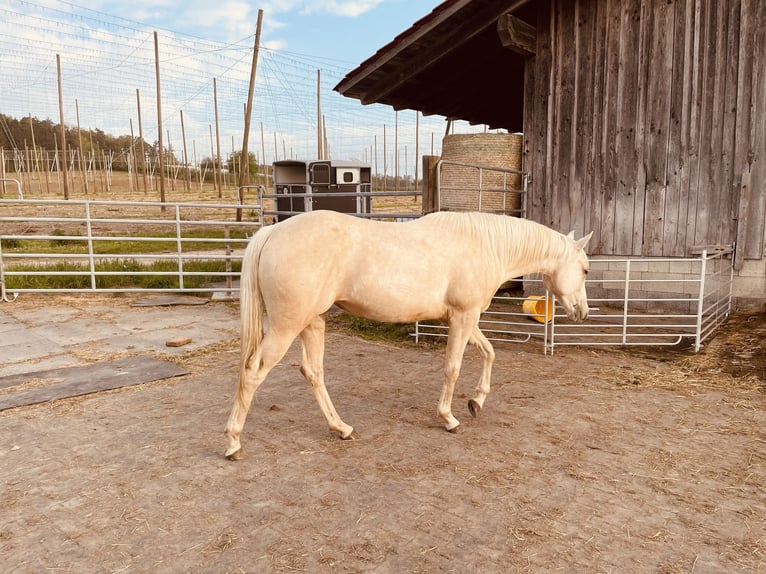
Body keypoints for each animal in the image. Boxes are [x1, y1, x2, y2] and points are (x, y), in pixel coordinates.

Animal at [222, 209, 592, 462]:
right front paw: (449, 418)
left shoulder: (466, 319)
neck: (486, 245)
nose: (583, 312)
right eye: (586, 269)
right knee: (253, 372)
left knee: (313, 372)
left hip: (312, 322)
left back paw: (342, 428)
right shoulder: (463, 318)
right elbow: (453, 368)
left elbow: (489, 353)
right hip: (287, 327)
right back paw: (233, 442)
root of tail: (273, 231)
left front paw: (476, 402)